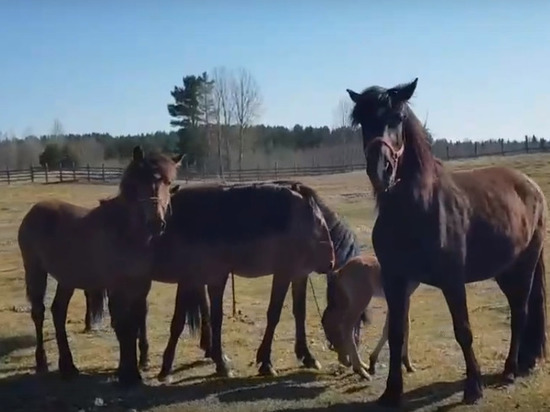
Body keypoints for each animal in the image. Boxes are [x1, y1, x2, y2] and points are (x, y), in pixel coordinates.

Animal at [17, 146, 183, 386]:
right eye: (140, 182)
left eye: (169, 183)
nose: (156, 223)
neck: (126, 232)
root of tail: (33, 211)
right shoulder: (116, 287)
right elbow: (124, 327)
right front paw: (128, 374)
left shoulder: (140, 286)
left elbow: (136, 323)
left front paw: (135, 367)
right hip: (35, 270)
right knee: (39, 313)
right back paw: (42, 362)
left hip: (67, 278)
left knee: (58, 312)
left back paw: (68, 367)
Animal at [324, 253, 418, 382]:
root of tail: (340, 271)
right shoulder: (405, 297)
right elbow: (406, 326)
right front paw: (408, 365)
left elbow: (388, 328)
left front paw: (372, 362)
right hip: (360, 301)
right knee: (346, 327)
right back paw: (360, 371)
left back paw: (357, 364)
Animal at [350, 79, 548, 408]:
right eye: (362, 121)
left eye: (398, 118)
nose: (381, 170)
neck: (416, 208)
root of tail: (532, 186)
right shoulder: (394, 279)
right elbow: (396, 333)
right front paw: (392, 392)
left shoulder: (452, 280)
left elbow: (463, 331)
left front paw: (474, 388)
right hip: (504, 270)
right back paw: (522, 363)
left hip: (525, 265)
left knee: (520, 312)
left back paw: (509, 370)